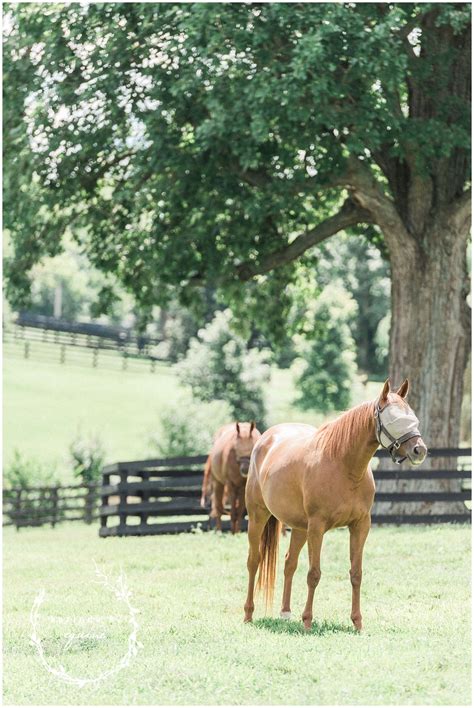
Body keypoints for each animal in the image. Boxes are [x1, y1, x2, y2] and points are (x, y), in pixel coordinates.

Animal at [243, 379, 427, 631]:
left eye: (413, 417)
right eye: (393, 419)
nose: (420, 450)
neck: (343, 466)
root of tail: (265, 439)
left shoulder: (360, 526)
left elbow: (356, 573)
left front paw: (357, 622)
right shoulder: (317, 527)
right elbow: (314, 574)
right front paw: (308, 621)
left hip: (300, 528)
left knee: (290, 563)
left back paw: (285, 613)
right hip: (258, 517)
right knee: (254, 562)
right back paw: (248, 614)